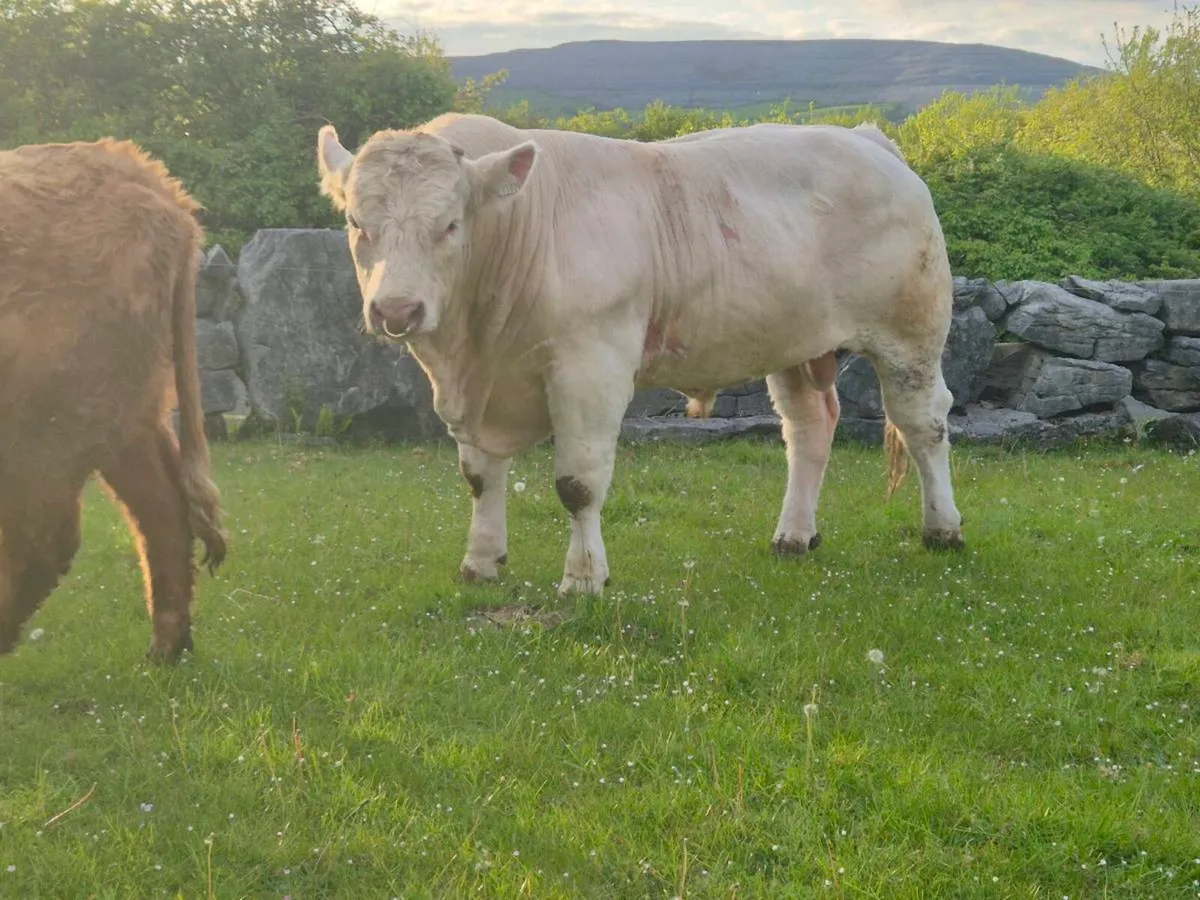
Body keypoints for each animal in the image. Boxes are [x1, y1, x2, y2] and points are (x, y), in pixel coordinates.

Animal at [315, 112, 964, 596]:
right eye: (357, 222)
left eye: (450, 225)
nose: (396, 309)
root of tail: (866, 137)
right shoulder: (474, 385)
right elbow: (479, 476)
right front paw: (480, 562)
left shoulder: (590, 367)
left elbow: (577, 483)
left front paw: (583, 580)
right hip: (794, 339)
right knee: (809, 428)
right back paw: (793, 536)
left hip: (911, 331)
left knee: (923, 424)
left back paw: (942, 529)